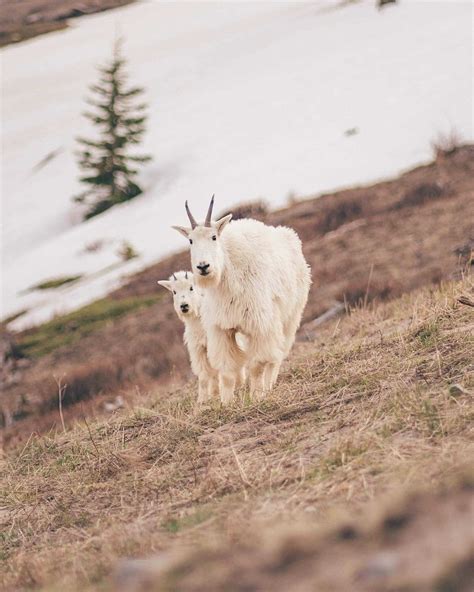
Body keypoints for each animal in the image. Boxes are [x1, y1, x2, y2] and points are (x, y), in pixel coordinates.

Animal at [173, 197, 312, 404]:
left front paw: (256, 396)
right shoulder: (222, 329)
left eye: (214, 237)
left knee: (277, 355)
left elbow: (257, 365)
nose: (203, 266)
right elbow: (227, 372)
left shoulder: (260, 326)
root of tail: (290, 235)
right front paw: (226, 403)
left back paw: (269, 385)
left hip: (290, 317)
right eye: (190, 240)